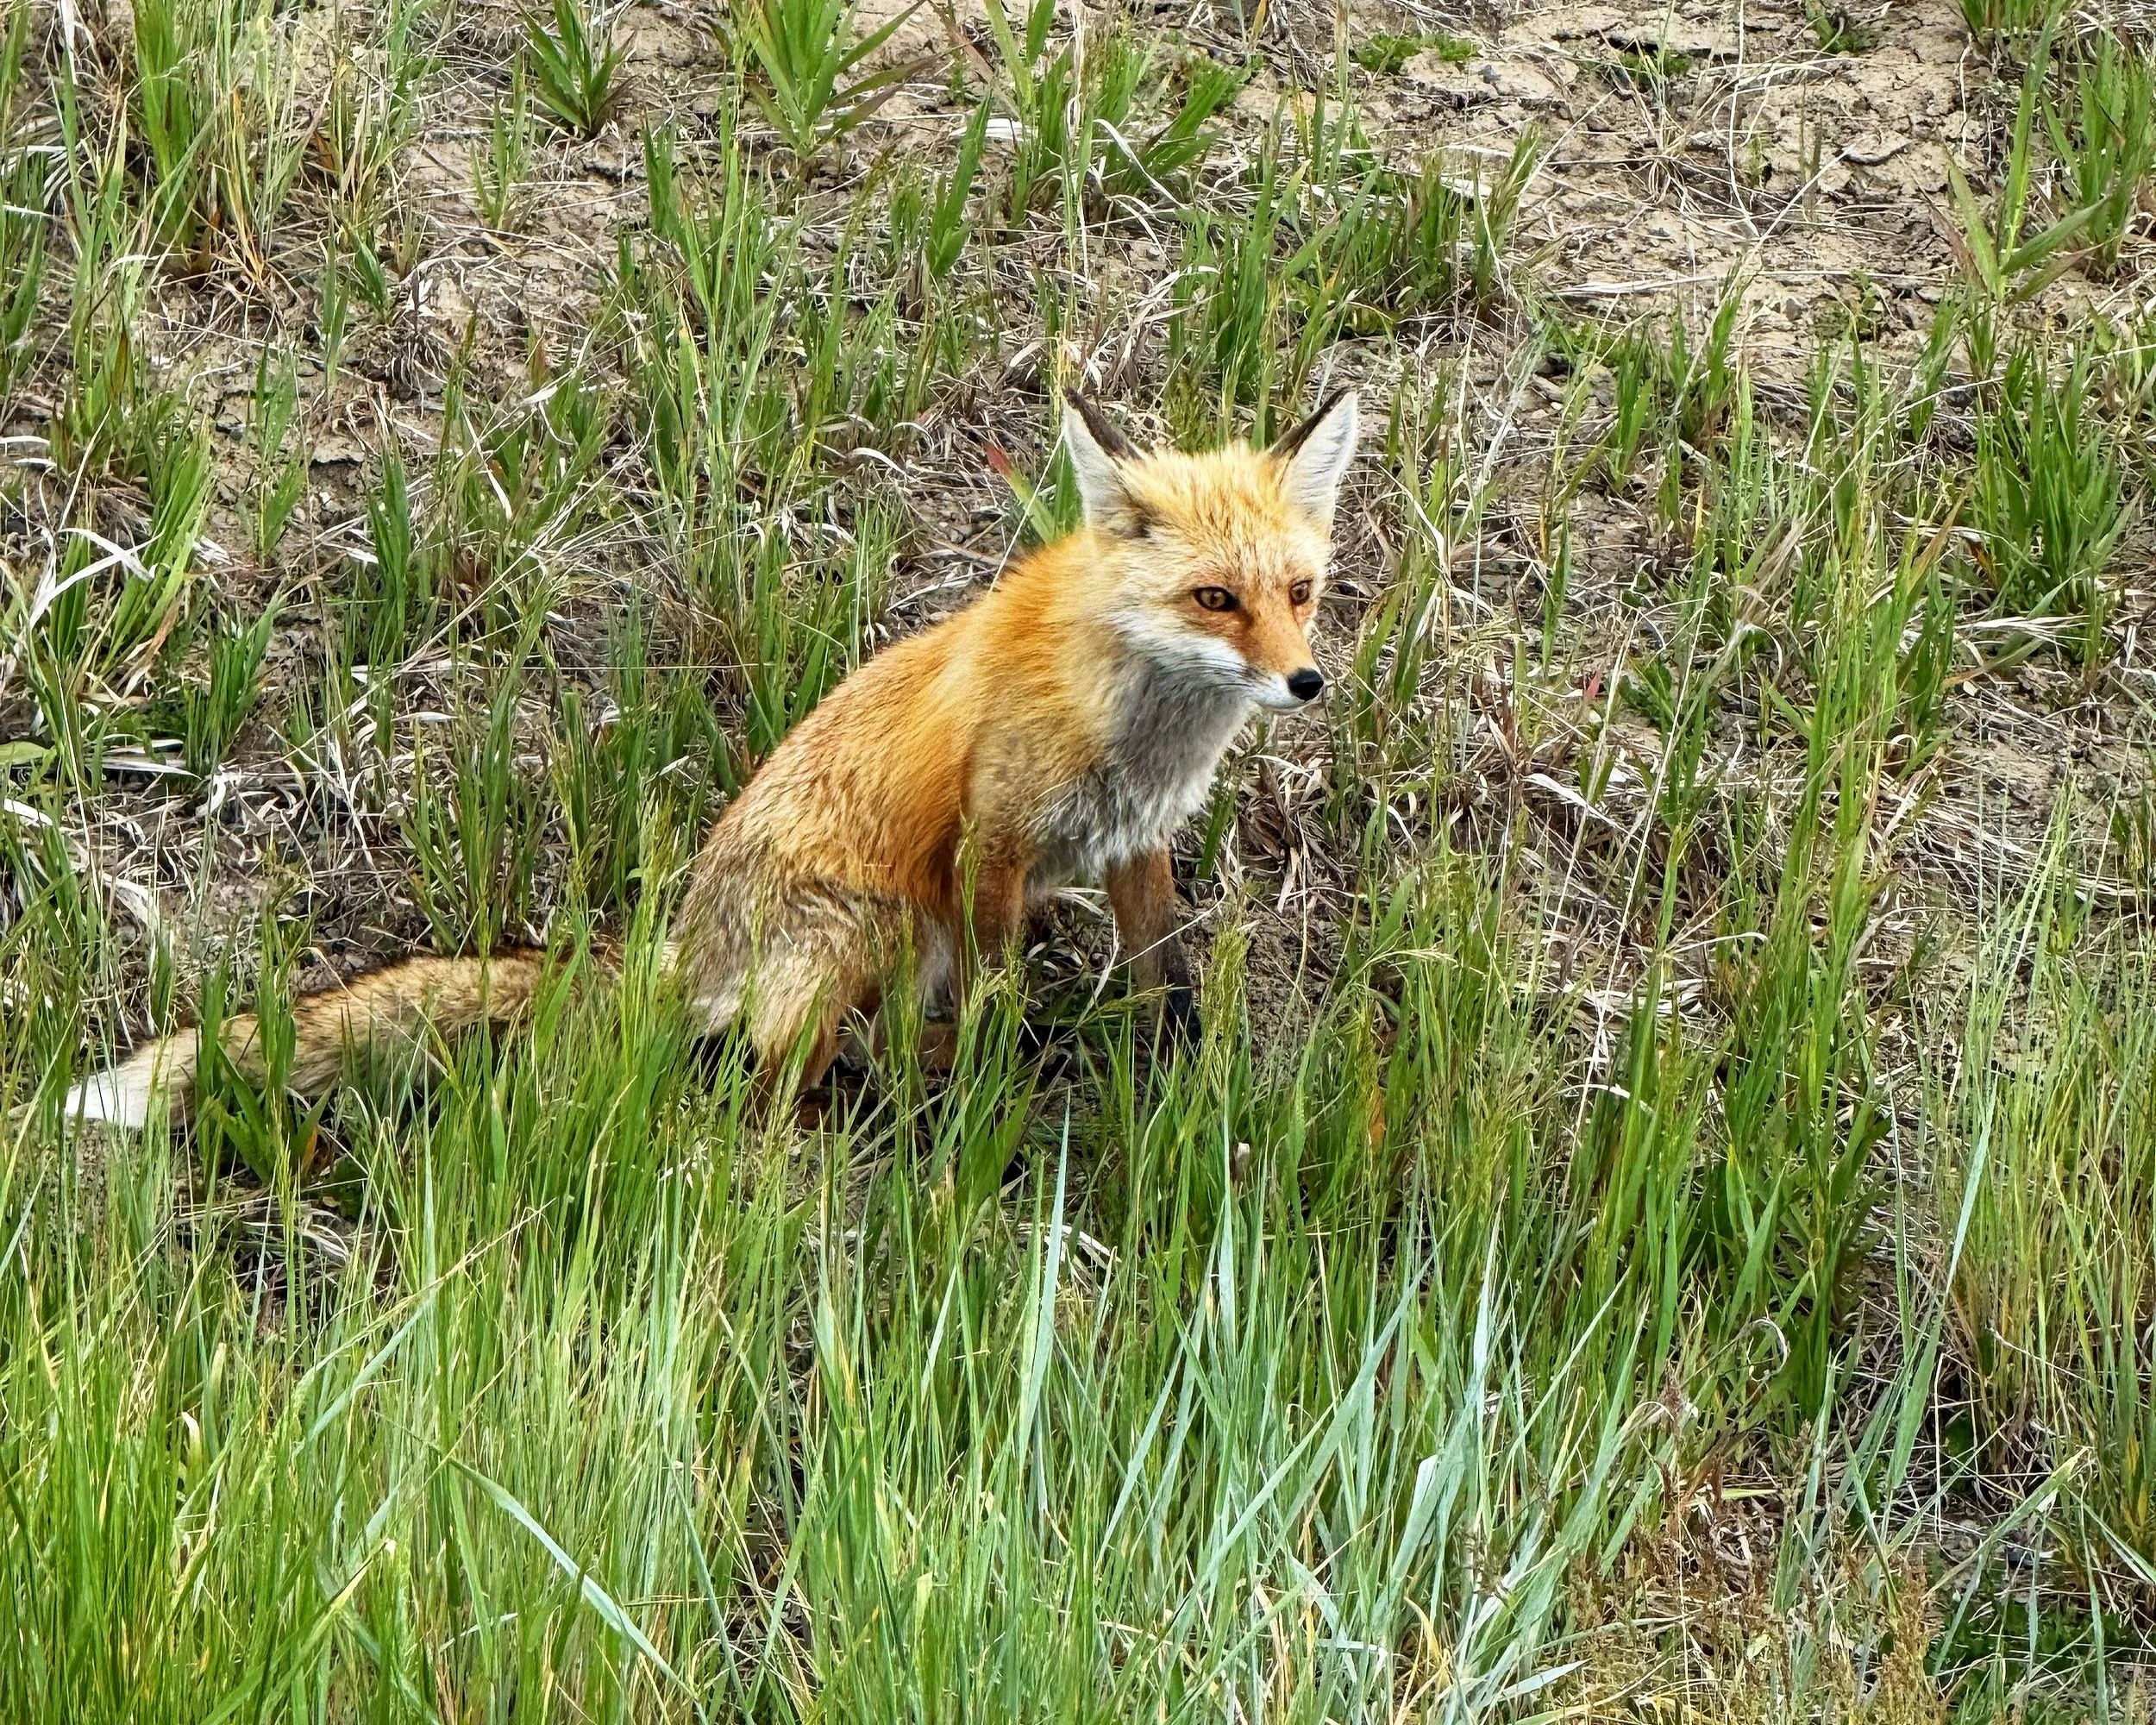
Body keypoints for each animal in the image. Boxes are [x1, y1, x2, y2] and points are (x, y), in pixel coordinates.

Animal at [64, 387, 1359, 1129]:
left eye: (1299, 592)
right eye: (1215, 599)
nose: (1307, 682)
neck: (1135, 722)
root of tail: (687, 944)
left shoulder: (1137, 841)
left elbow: (1171, 984)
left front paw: (1189, 1082)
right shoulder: (987, 847)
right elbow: (998, 996)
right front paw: (1004, 1079)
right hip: (874, 924)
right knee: (785, 1068)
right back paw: (886, 1096)